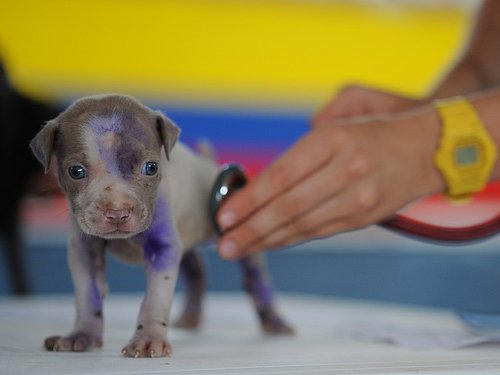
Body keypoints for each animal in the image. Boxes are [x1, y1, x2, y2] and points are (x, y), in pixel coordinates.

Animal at [29, 94, 292, 358]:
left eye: (151, 167)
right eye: (76, 171)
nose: (117, 212)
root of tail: (208, 165)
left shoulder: (163, 247)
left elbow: (155, 298)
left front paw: (147, 339)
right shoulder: (84, 249)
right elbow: (87, 294)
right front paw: (82, 335)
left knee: (254, 276)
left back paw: (274, 320)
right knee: (196, 268)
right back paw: (191, 317)